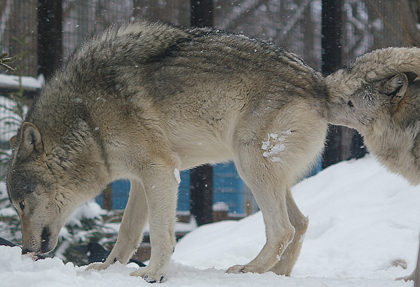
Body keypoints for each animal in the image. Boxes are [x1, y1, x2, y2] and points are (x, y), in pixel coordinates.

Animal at [4, 20, 330, 284]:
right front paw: (108, 270)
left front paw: (152, 274)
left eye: (22, 204)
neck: (87, 116)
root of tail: (320, 84)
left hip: (249, 165)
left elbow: (160, 234)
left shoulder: (160, 172)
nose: (25, 250)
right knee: (300, 223)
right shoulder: (139, 180)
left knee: (283, 230)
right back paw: (276, 275)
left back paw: (248, 270)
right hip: (265, 172)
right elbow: (127, 233)